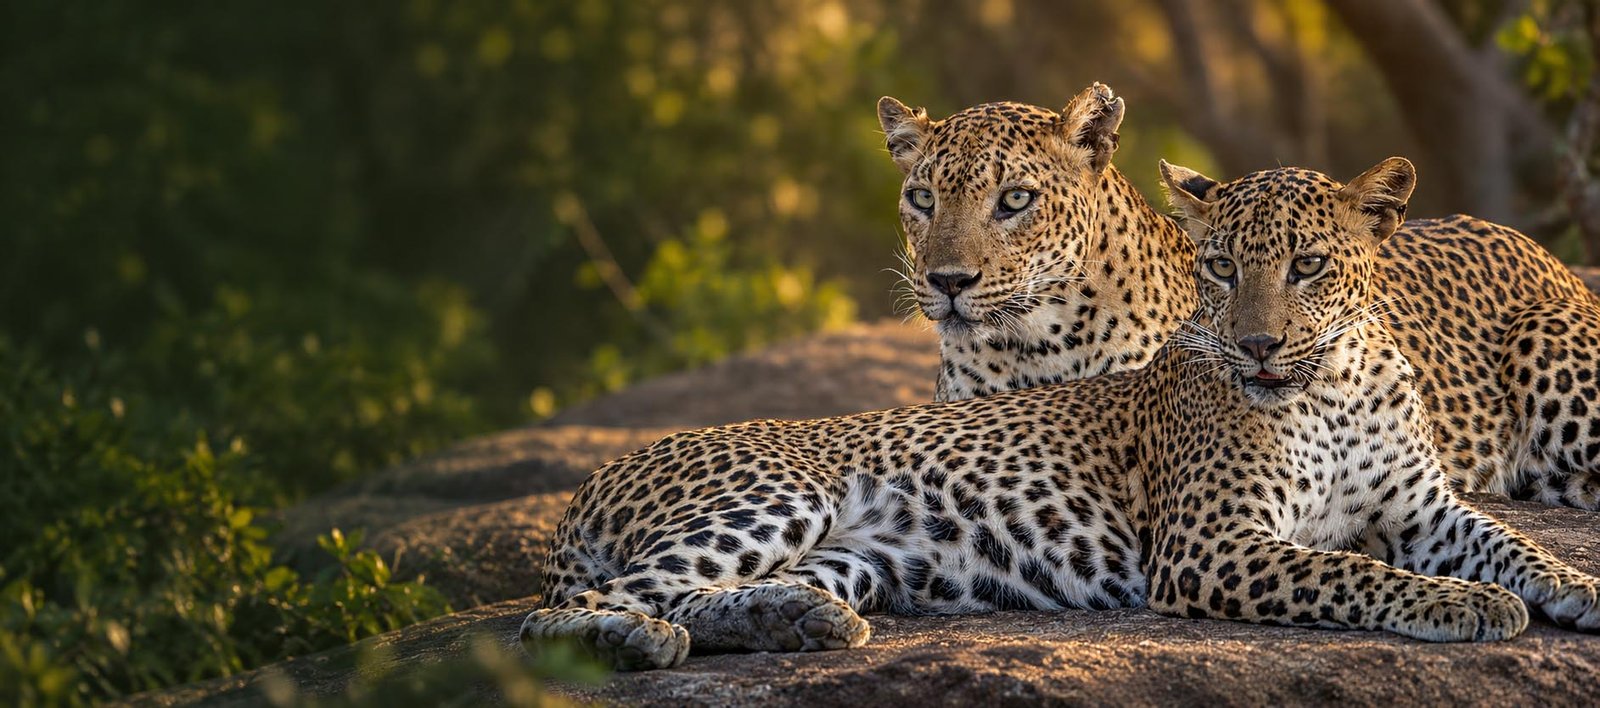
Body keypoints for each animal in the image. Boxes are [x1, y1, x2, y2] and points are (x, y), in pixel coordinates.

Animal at [518, 159, 1600, 671]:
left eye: (1308, 266)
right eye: (1218, 268)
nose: (1257, 345)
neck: (1331, 387)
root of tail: (590, 483)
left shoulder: (1427, 509)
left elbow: (1513, 545)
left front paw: (1572, 588)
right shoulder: (1212, 545)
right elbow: (1352, 572)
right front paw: (1462, 606)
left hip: (856, 552)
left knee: (697, 597)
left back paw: (798, 620)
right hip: (775, 497)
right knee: (570, 612)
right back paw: (638, 643)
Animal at [879, 83, 1600, 512]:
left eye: (1015, 200)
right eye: (922, 199)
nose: (947, 282)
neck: (1030, 346)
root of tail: (1544, 256)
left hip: (1545, 340)